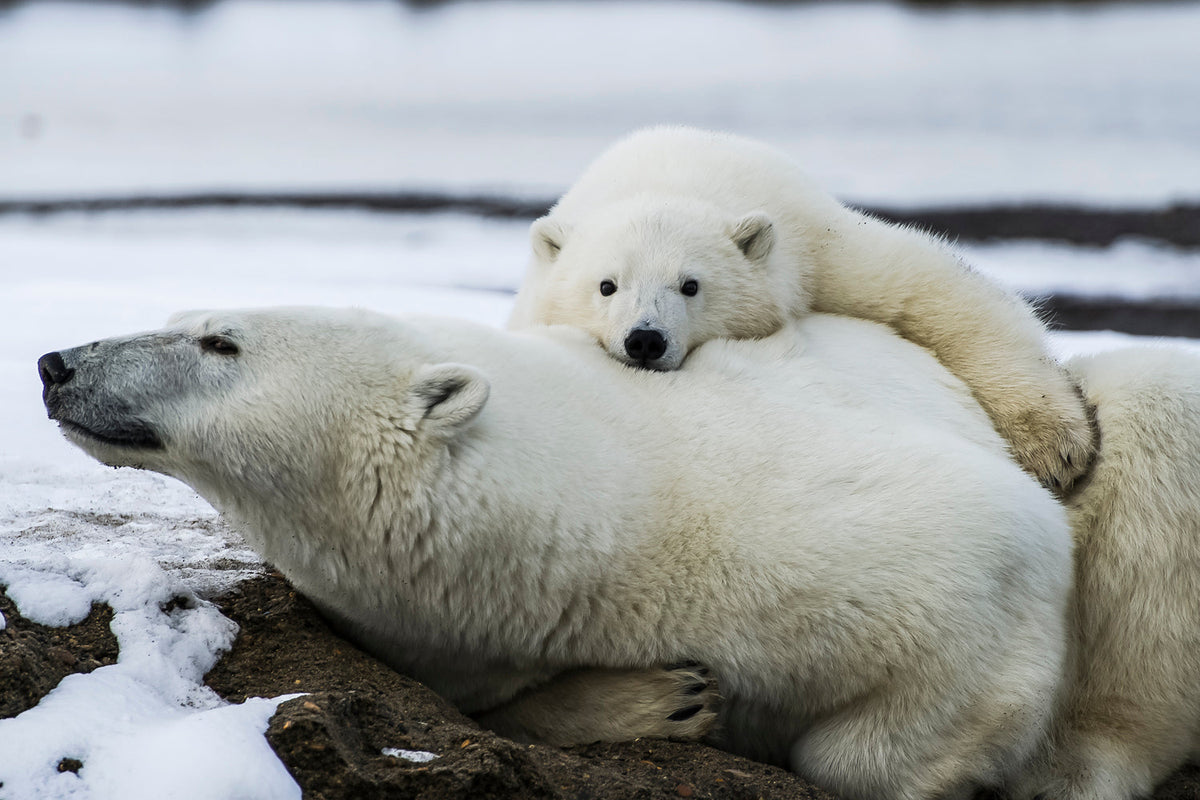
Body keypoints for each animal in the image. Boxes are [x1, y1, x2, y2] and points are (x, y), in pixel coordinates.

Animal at [39, 306, 1073, 800]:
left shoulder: (854, 540)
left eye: (221, 341)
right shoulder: (450, 636)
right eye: (189, 318)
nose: (57, 362)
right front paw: (665, 698)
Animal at [508, 126, 1094, 493]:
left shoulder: (810, 247)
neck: (667, 181)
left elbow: (934, 291)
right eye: (606, 285)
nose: (646, 339)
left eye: (690, 285)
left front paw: (1056, 449)